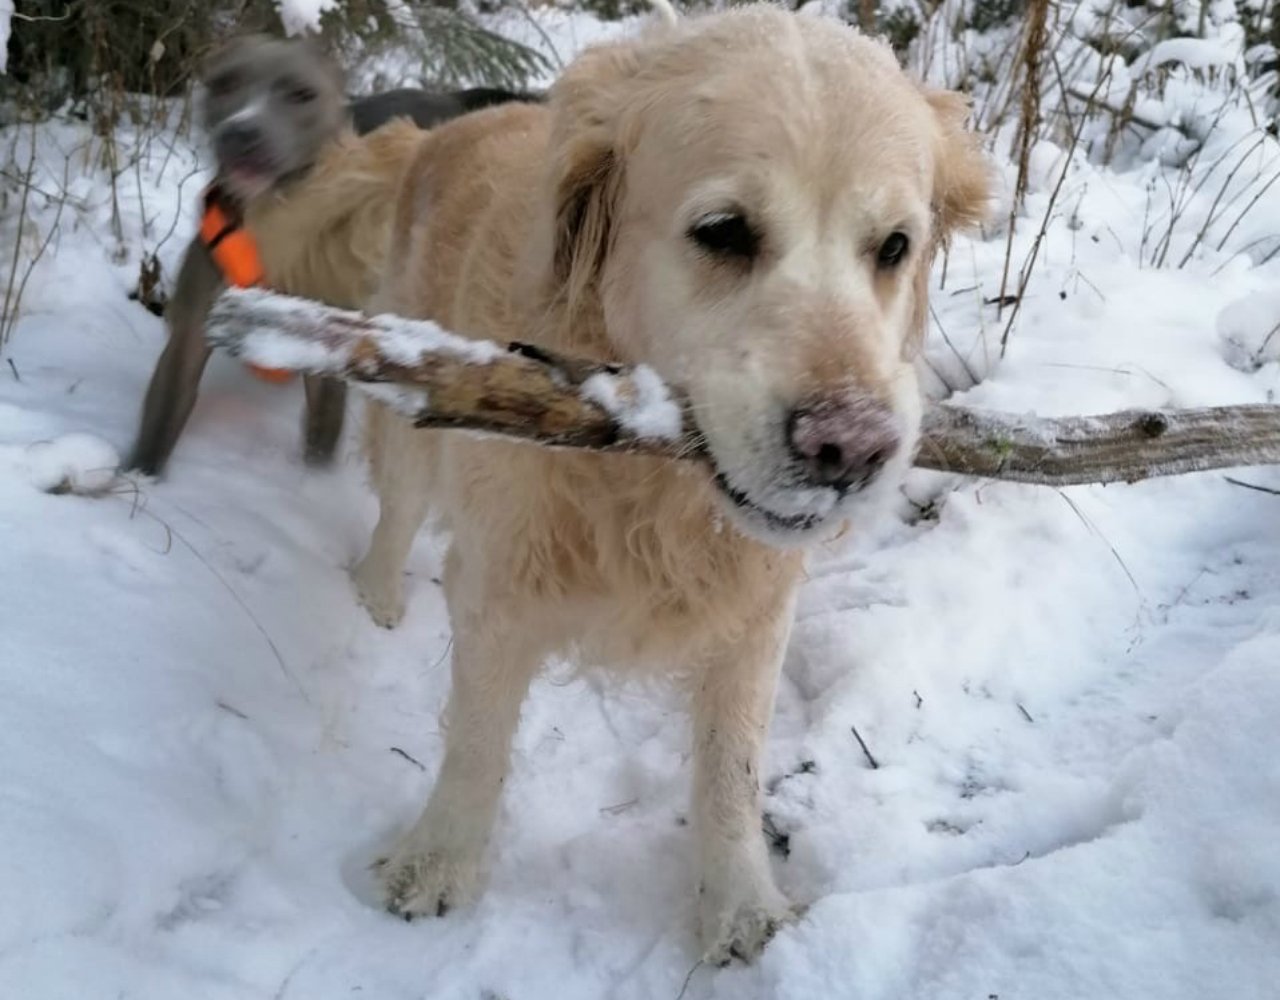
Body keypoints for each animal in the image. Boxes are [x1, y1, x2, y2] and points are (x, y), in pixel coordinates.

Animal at [122, 38, 537, 476]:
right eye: (225, 82)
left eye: (302, 93)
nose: (242, 132)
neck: (278, 220)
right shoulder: (189, 335)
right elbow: (163, 418)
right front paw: (138, 478)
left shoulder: (330, 347)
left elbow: (323, 427)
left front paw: (313, 478)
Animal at [350, 3, 988, 962]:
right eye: (723, 230)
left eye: (894, 247)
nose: (851, 449)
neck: (650, 483)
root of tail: (447, 126)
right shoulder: (500, 585)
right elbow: (477, 737)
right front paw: (437, 863)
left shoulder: (757, 613)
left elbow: (733, 767)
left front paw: (741, 907)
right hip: (416, 419)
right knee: (396, 511)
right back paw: (381, 599)